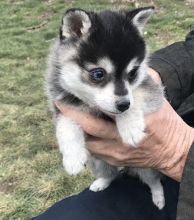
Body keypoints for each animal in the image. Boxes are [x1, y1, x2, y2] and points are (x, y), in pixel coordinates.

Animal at [45, 6, 165, 209]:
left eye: (133, 73)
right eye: (98, 74)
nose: (123, 105)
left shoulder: (151, 89)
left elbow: (137, 95)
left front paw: (130, 127)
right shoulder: (63, 104)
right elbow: (65, 127)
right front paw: (72, 158)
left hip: (146, 166)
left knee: (153, 180)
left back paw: (159, 197)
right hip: (99, 162)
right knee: (111, 173)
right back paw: (101, 182)